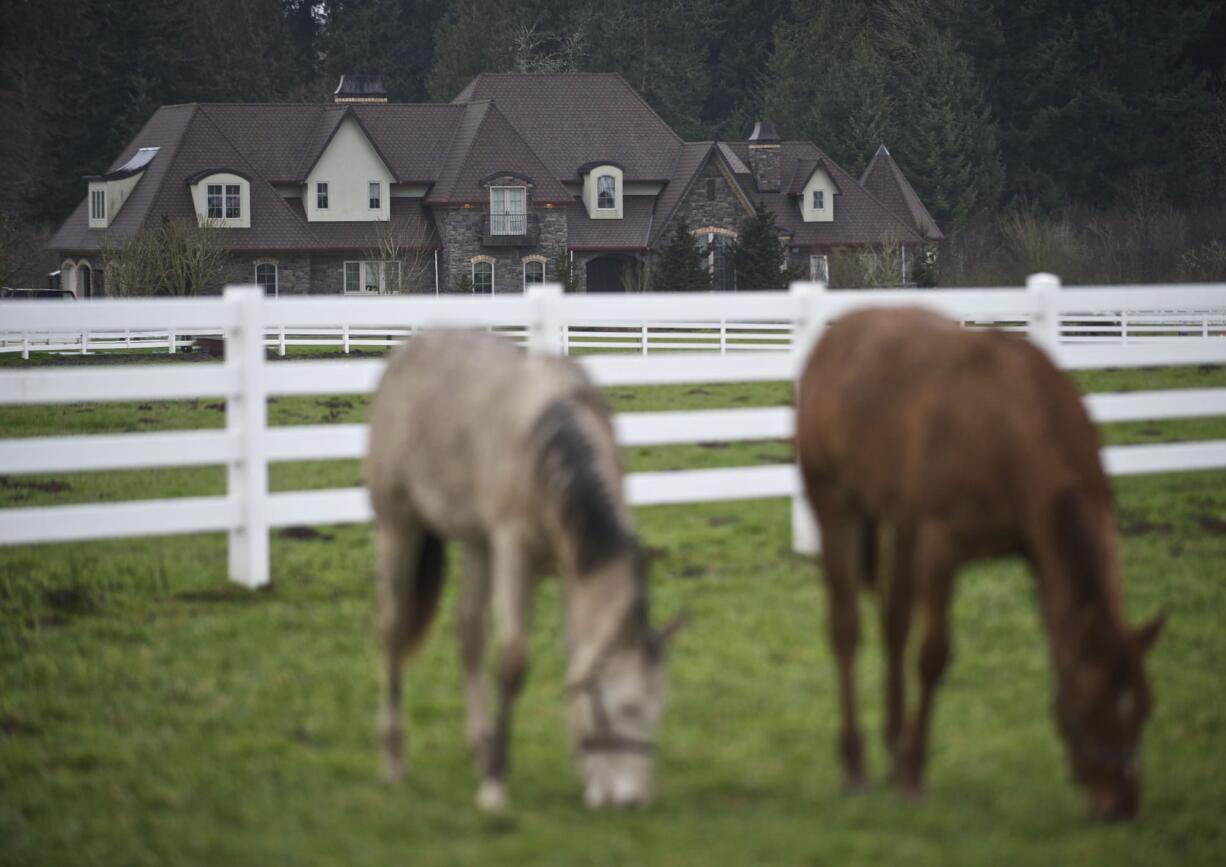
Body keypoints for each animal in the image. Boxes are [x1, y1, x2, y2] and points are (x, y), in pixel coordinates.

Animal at [367, 331, 686, 814]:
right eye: (626, 707)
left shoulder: (571, 568)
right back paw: (394, 759)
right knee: (391, 628)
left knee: (469, 633)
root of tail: (408, 351)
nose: (631, 800)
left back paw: (479, 743)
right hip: (398, 525)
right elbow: (513, 661)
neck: (547, 443)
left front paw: (582, 775)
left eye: (659, 708)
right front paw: (495, 788)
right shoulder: (515, 554)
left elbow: (575, 657)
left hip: (478, 544)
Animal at [799, 306, 1162, 819]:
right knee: (846, 629)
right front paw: (914, 774)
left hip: (902, 520)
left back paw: (892, 744)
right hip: (834, 503)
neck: (1014, 427)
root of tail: (839, 332)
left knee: (893, 624)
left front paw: (906, 761)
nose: (1119, 805)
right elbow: (934, 656)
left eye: (1146, 707)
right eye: (1092, 706)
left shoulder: (1038, 554)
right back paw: (856, 763)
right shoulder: (940, 545)